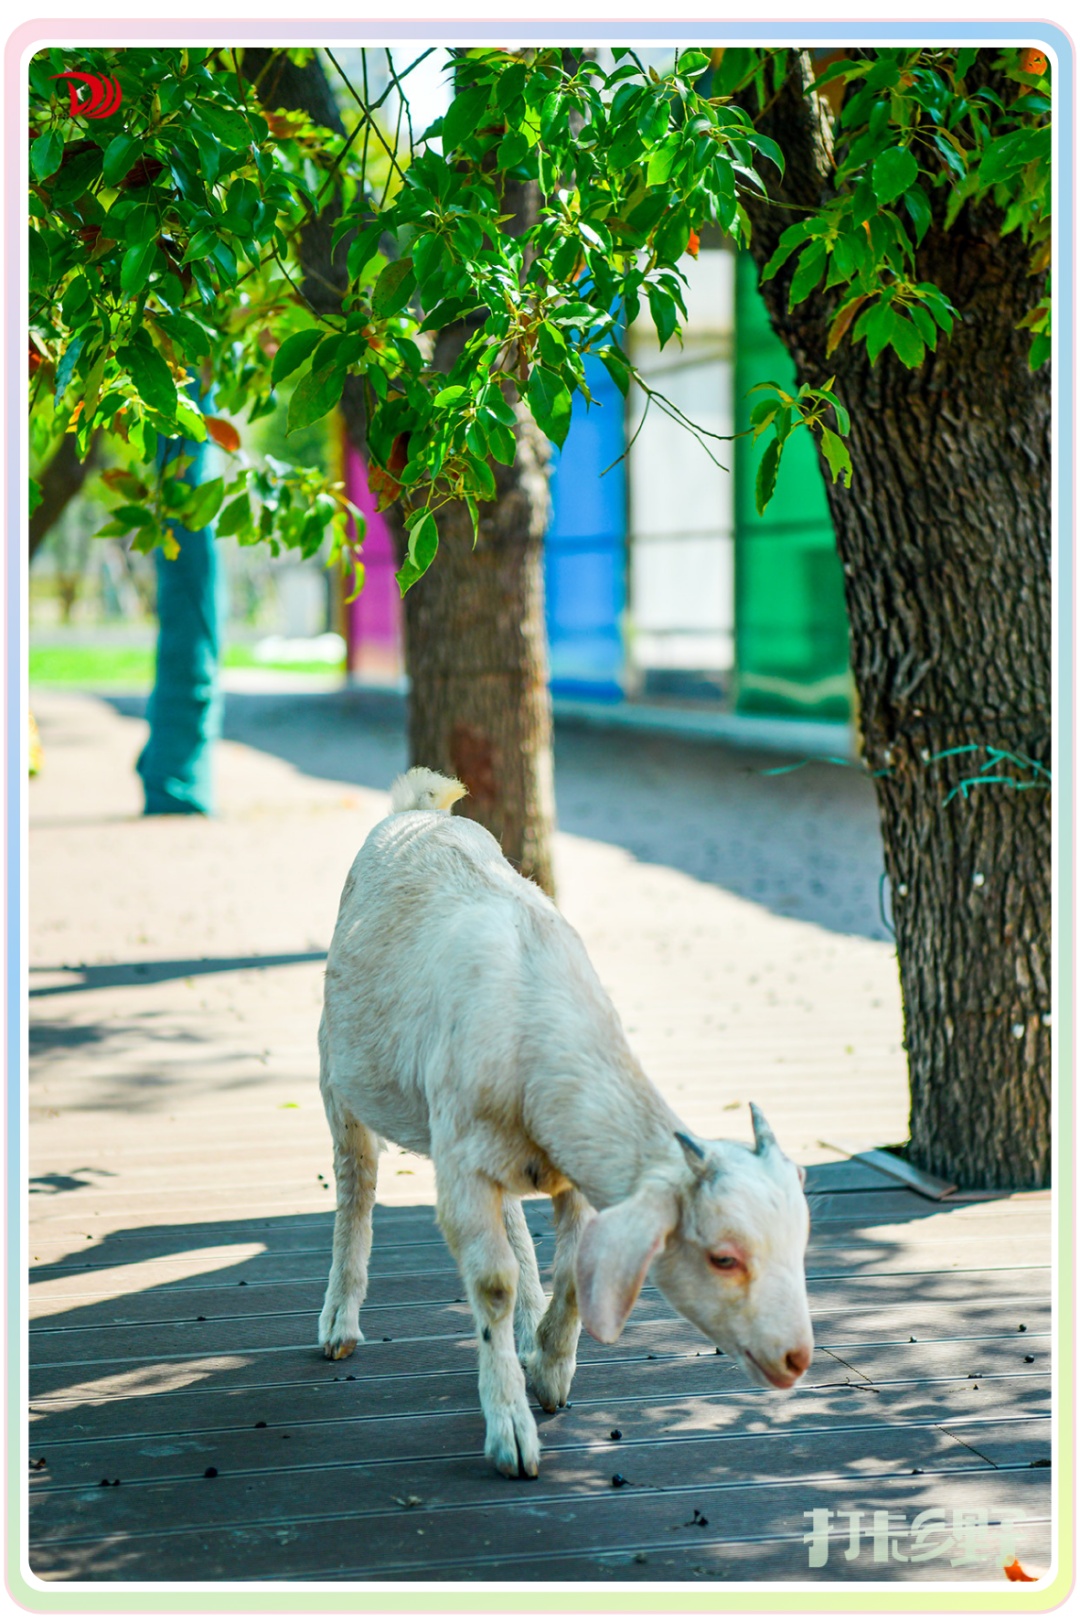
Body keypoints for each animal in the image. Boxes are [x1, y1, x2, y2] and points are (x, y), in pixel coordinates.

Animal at [317, 766, 813, 1479]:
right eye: (723, 1257)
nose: (795, 1358)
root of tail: (419, 809)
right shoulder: (459, 1166)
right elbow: (489, 1284)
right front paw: (512, 1434)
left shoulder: (567, 1168)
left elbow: (574, 1267)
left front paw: (549, 1373)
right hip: (337, 1072)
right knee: (356, 1183)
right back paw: (339, 1324)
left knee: (510, 1220)